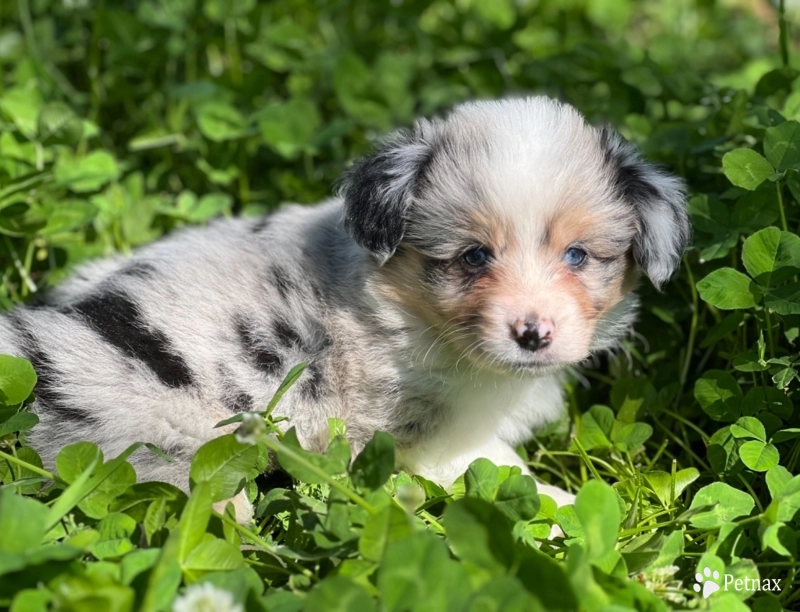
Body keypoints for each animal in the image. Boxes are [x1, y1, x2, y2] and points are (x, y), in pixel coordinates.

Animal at [1, 98, 688, 520]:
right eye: (472, 256)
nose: (533, 334)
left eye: (577, 255)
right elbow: (494, 463)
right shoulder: (417, 433)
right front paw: (563, 501)